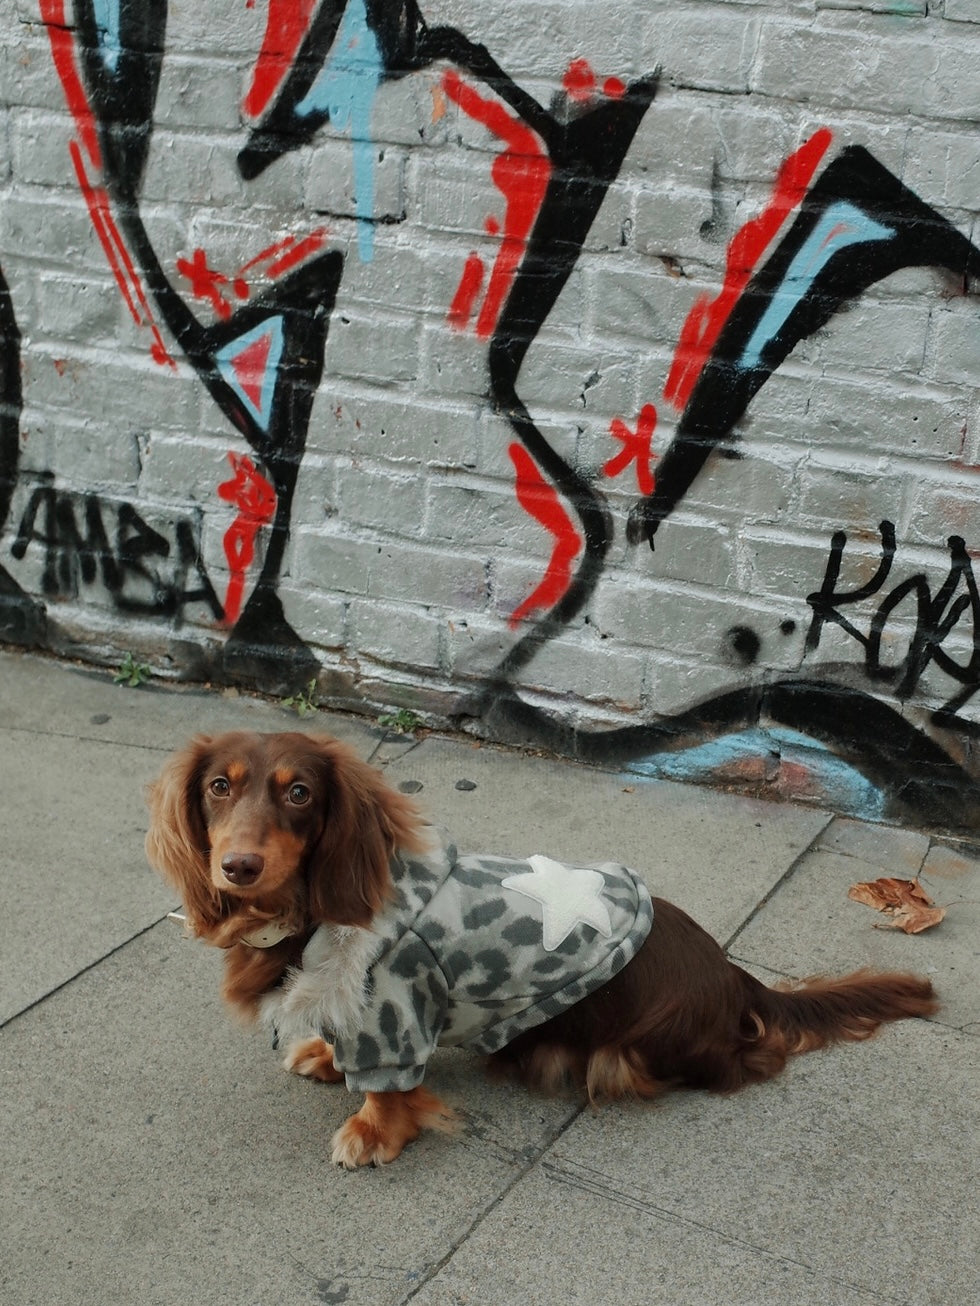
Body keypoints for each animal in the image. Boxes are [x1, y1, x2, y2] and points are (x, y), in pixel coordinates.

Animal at [143, 731, 935, 1170]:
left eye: (301, 793)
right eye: (219, 787)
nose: (238, 867)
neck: (311, 911)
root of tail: (735, 978)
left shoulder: (397, 1009)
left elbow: (387, 1088)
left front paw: (373, 1133)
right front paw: (323, 1054)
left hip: (626, 1052)